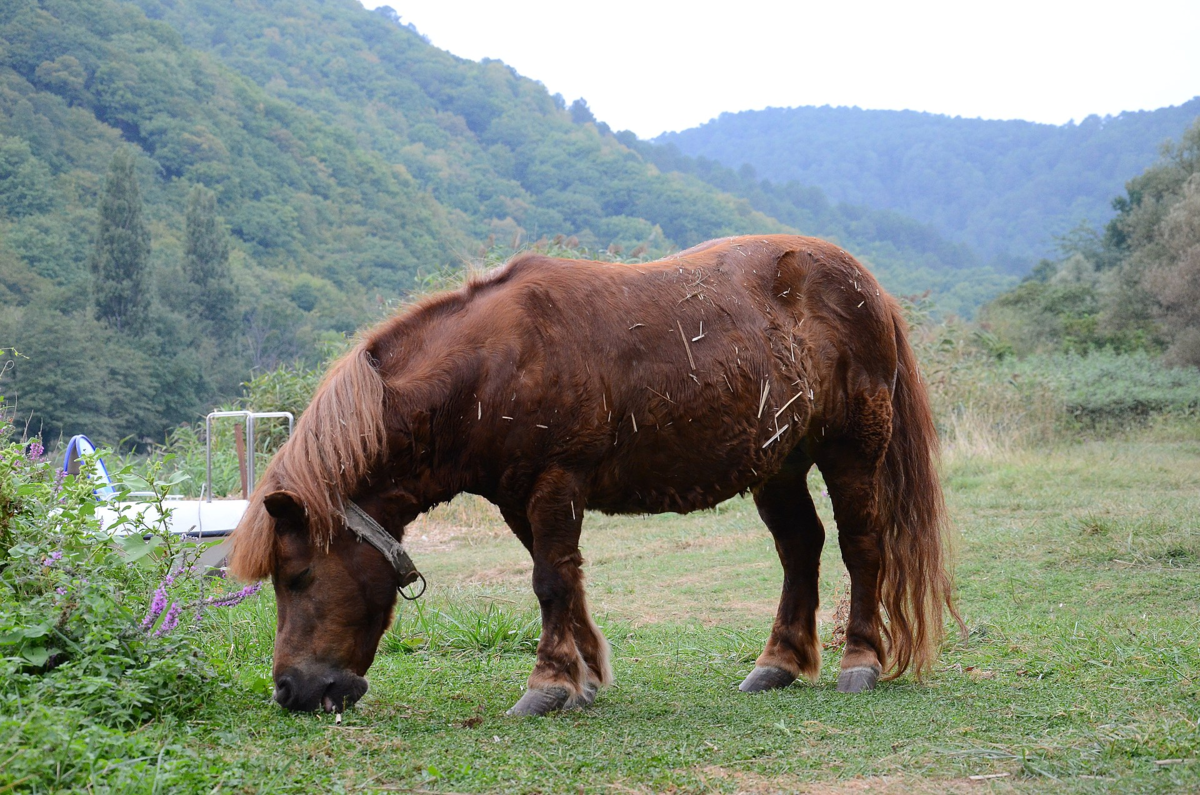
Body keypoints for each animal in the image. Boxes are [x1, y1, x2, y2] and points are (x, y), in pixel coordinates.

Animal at [225, 235, 960, 715]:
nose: (289, 690)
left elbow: (550, 581)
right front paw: (583, 677)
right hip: (779, 463)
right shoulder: (520, 499)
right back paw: (776, 663)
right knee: (800, 549)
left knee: (861, 546)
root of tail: (865, 283)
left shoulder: (556, 483)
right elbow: (564, 579)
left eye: (298, 577)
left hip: (851, 450)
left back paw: (859, 660)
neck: (490, 366)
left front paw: (547, 683)